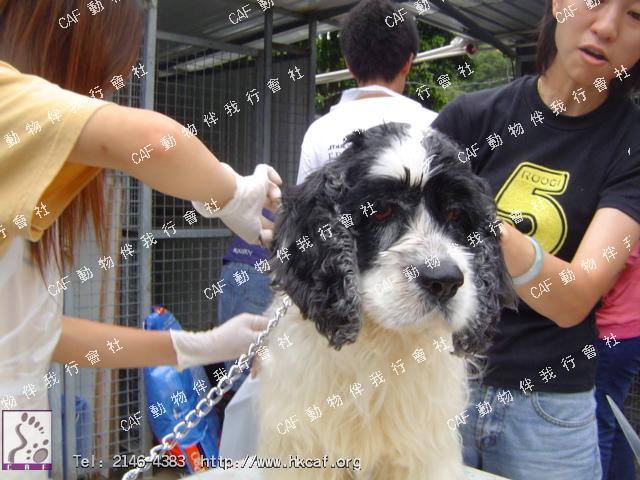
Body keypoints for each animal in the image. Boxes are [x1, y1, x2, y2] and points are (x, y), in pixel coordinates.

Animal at [256, 124, 516, 480]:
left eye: (456, 214)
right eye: (380, 210)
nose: (445, 281)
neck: (380, 340)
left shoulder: (420, 453)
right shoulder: (306, 444)